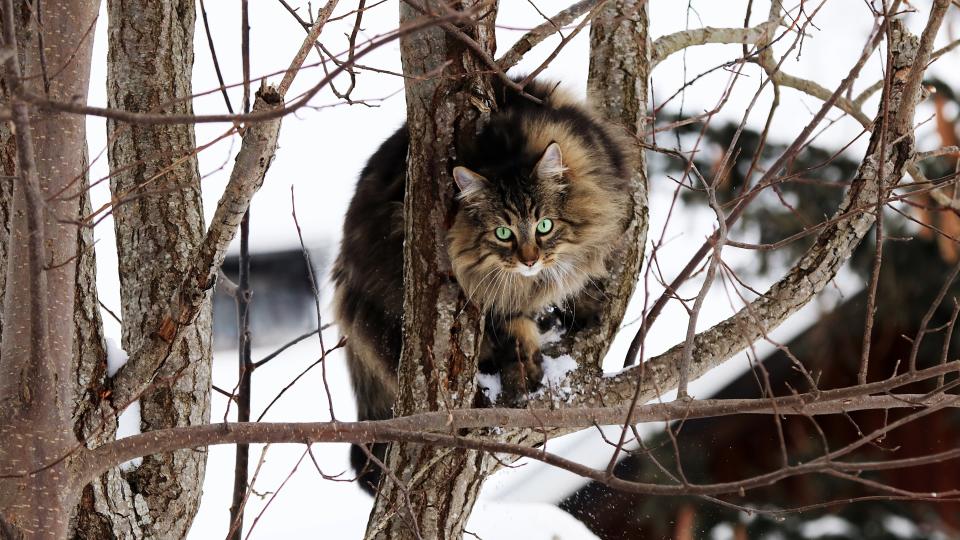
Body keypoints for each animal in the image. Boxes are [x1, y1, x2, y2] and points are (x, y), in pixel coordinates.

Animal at [332, 78, 636, 492]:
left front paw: (585, 303)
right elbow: (513, 328)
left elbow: (585, 270)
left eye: (544, 225)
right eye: (503, 233)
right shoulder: (484, 294)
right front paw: (522, 368)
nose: (529, 259)